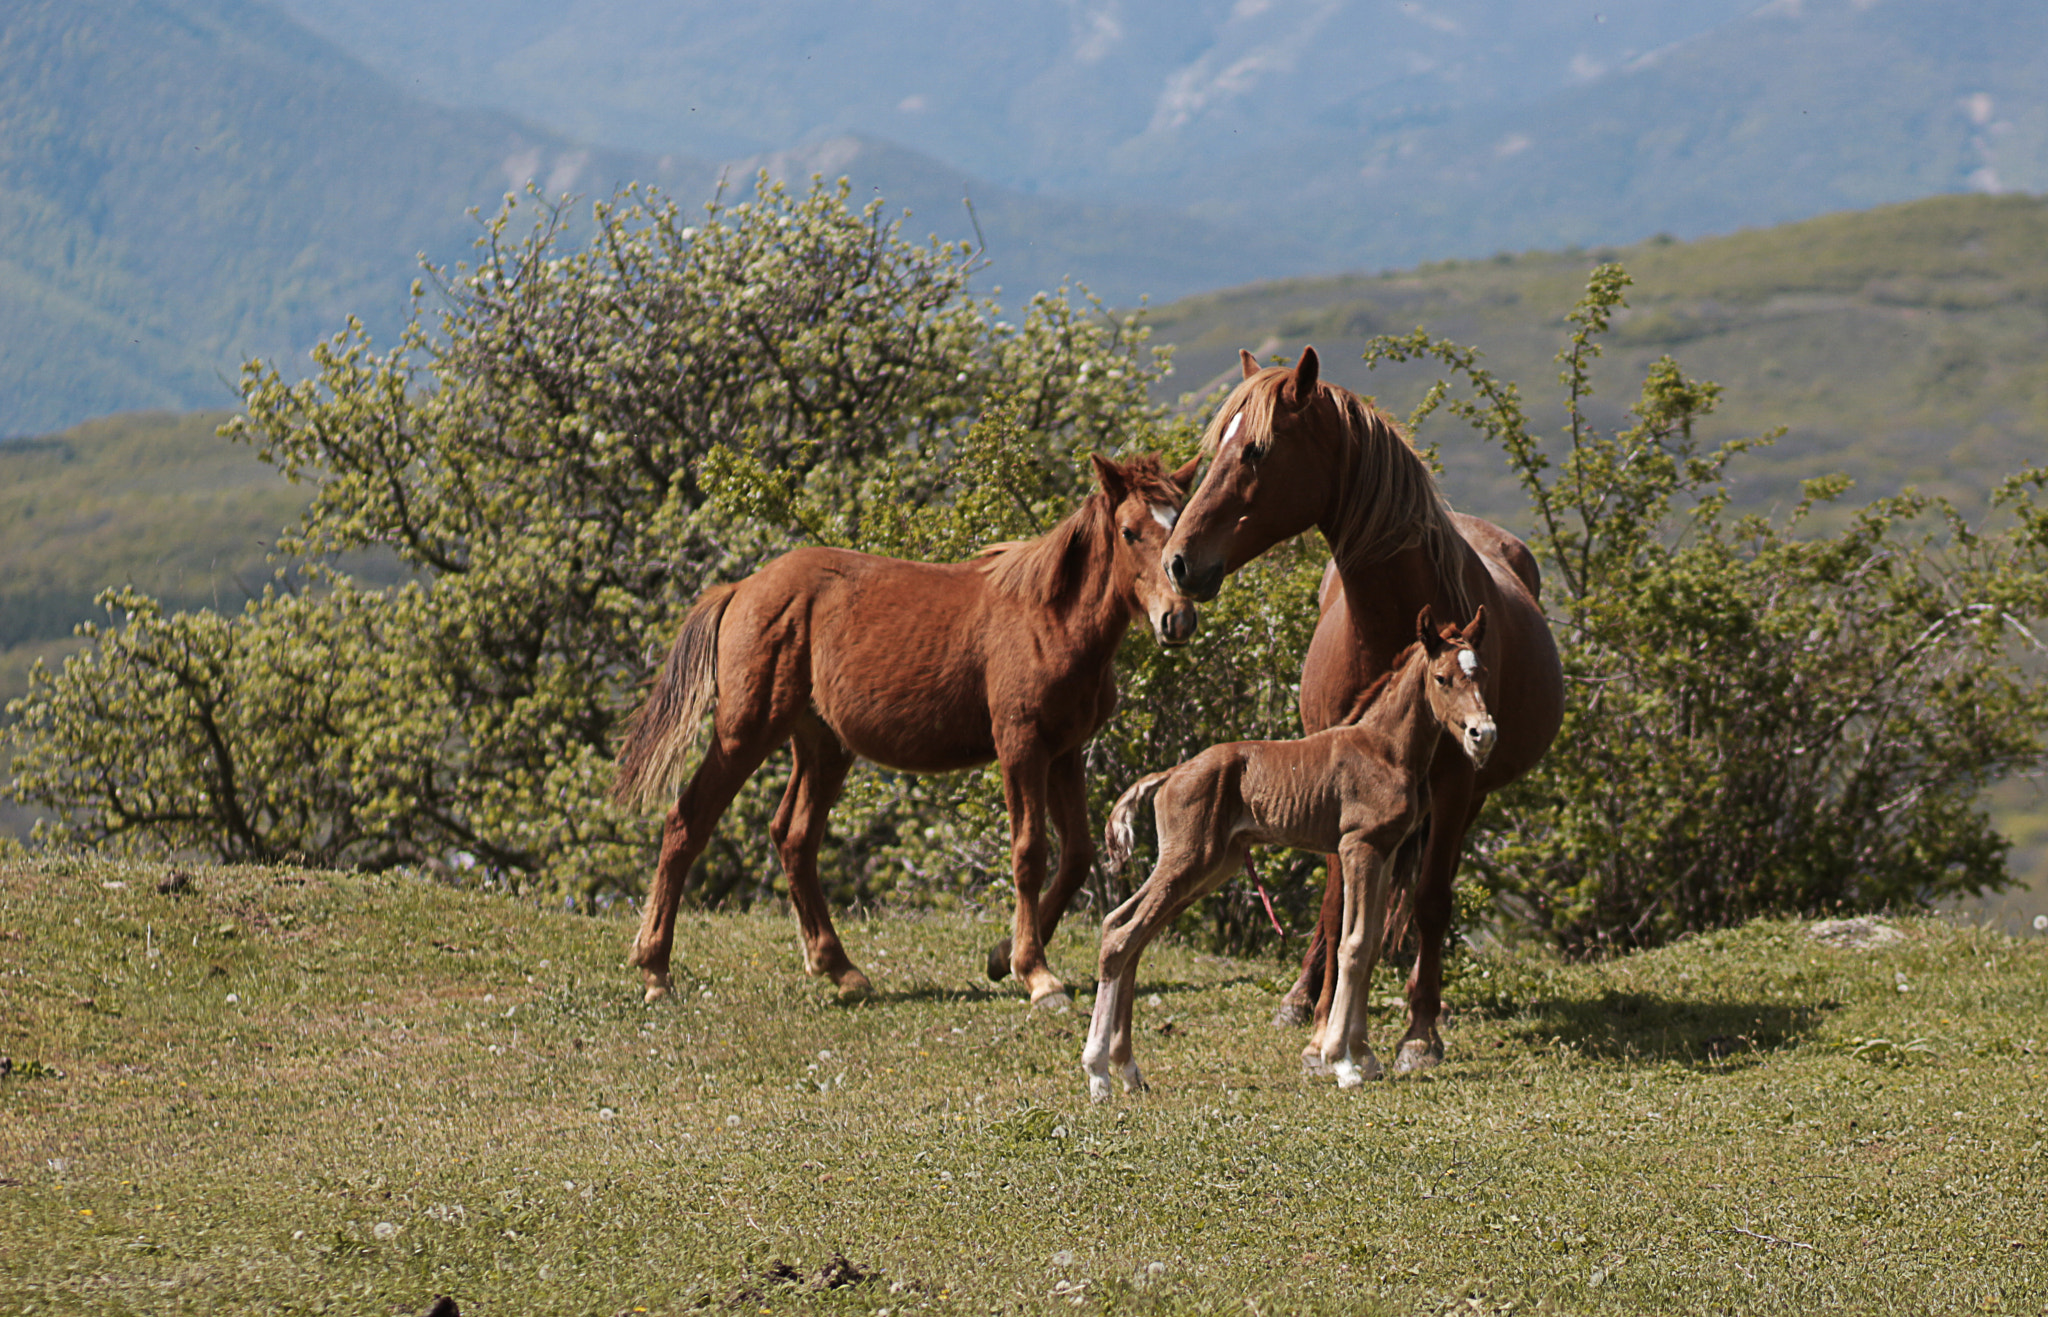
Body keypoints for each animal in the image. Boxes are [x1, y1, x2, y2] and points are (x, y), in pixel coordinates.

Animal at [614, 452, 1204, 1011]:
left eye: (1181, 520)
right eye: (1129, 531)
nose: (1178, 620)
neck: (1050, 619)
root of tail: (740, 588)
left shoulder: (1065, 750)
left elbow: (1078, 853)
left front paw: (1000, 958)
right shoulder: (1021, 745)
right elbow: (1029, 852)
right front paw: (1036, 975)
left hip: (823, 743)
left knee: (793, 837)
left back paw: (840, 969)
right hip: (747, 728)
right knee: (687, 821)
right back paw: (655, 971)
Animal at [1081, 606, 1499, 1106]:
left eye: (1481, 674)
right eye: (1442, 678)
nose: (1483, 734)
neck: (1385, 748)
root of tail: (1169, 774)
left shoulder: (1385, 849)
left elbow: (1371, 947)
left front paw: (1365, 1056)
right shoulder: (1357, 846)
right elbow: (1353, 945)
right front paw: (1341, 1062)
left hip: (1212, 865)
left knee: (1128, 930)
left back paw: (1128, 1070)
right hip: (1188, 860)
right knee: (1121, 934)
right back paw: (1098, 1075)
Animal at [1163, 352, 1556, 1081]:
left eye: (1256, 449)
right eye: (1216, 446)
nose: (1177, 562)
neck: (1391, 618)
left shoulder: (1455, 787)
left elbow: (1429, 900)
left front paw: (1420, 1033)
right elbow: (1341, 901)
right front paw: (1326, 1024)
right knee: (1334, 898)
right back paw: (1301, 999)